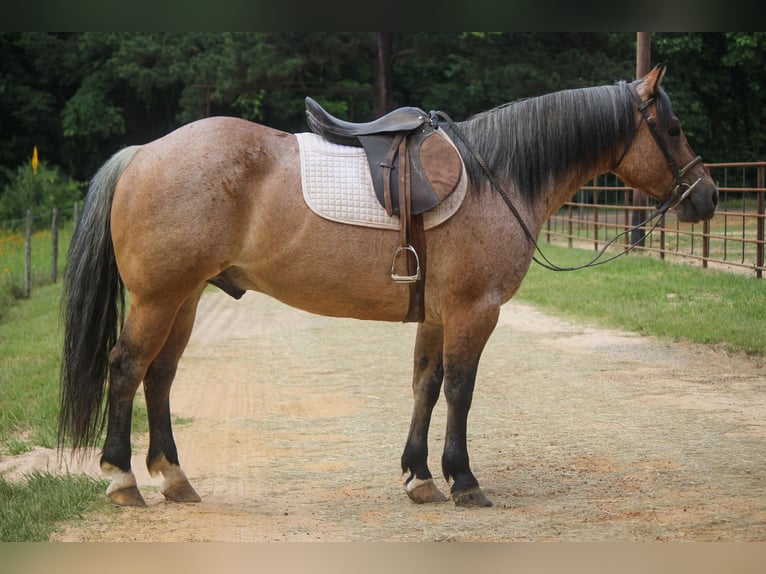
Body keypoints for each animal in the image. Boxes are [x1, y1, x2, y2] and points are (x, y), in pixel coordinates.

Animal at [58, 65, 720, 510]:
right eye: (674, 127)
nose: (709, 197)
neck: (497, 178)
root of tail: (144, 152)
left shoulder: (436, 315)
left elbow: (424, 387)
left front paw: (419, 476)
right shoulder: (474, 312)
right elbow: (460, 392)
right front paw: (463, 480)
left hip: (186, 298)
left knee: (160, 375)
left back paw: (174, 478)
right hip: (159, 298)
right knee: (128, 368)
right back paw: (122, 479)